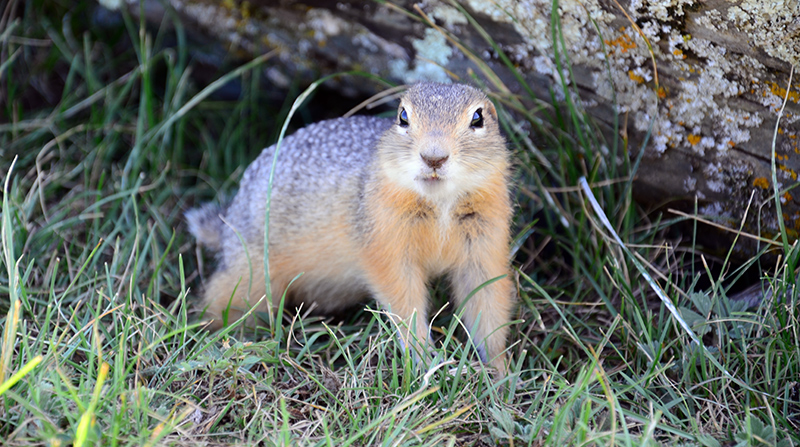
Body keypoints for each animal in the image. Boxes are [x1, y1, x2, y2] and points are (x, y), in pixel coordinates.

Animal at [186, 82, 512, 372]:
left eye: (478, 118)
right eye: (402, 117)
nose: (434, 157)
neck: (440, 202)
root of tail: (228, 224)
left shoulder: (485, 242)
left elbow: (488, 299)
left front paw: (500, 373)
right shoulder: (386, 242)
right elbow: (404, 299)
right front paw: (424, 356)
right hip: (250, 272)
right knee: (222, 297)